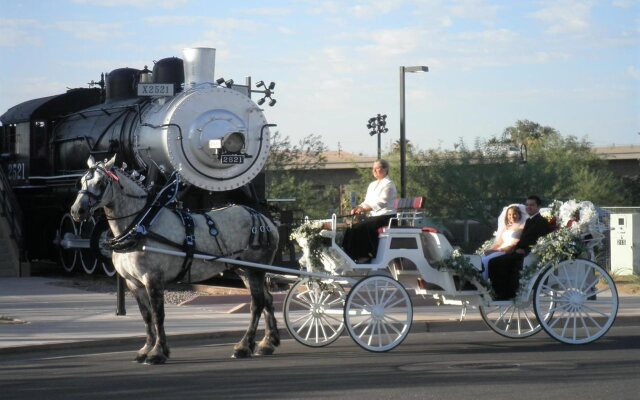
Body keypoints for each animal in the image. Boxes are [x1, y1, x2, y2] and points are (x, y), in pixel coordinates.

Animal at [70, 155, 280, 362]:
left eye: (101, 182)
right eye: (81, 180)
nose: (76, 211)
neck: (142, 224)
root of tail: (265, 220)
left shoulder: (153, 278)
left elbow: (158, 315)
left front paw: (157, 352)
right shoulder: (133, 283)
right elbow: (146, 315)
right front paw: (146, 349)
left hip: (254, 269)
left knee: (257, 303)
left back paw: (244, 346)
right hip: (244, 269)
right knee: (267, 299)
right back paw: (267, 343)